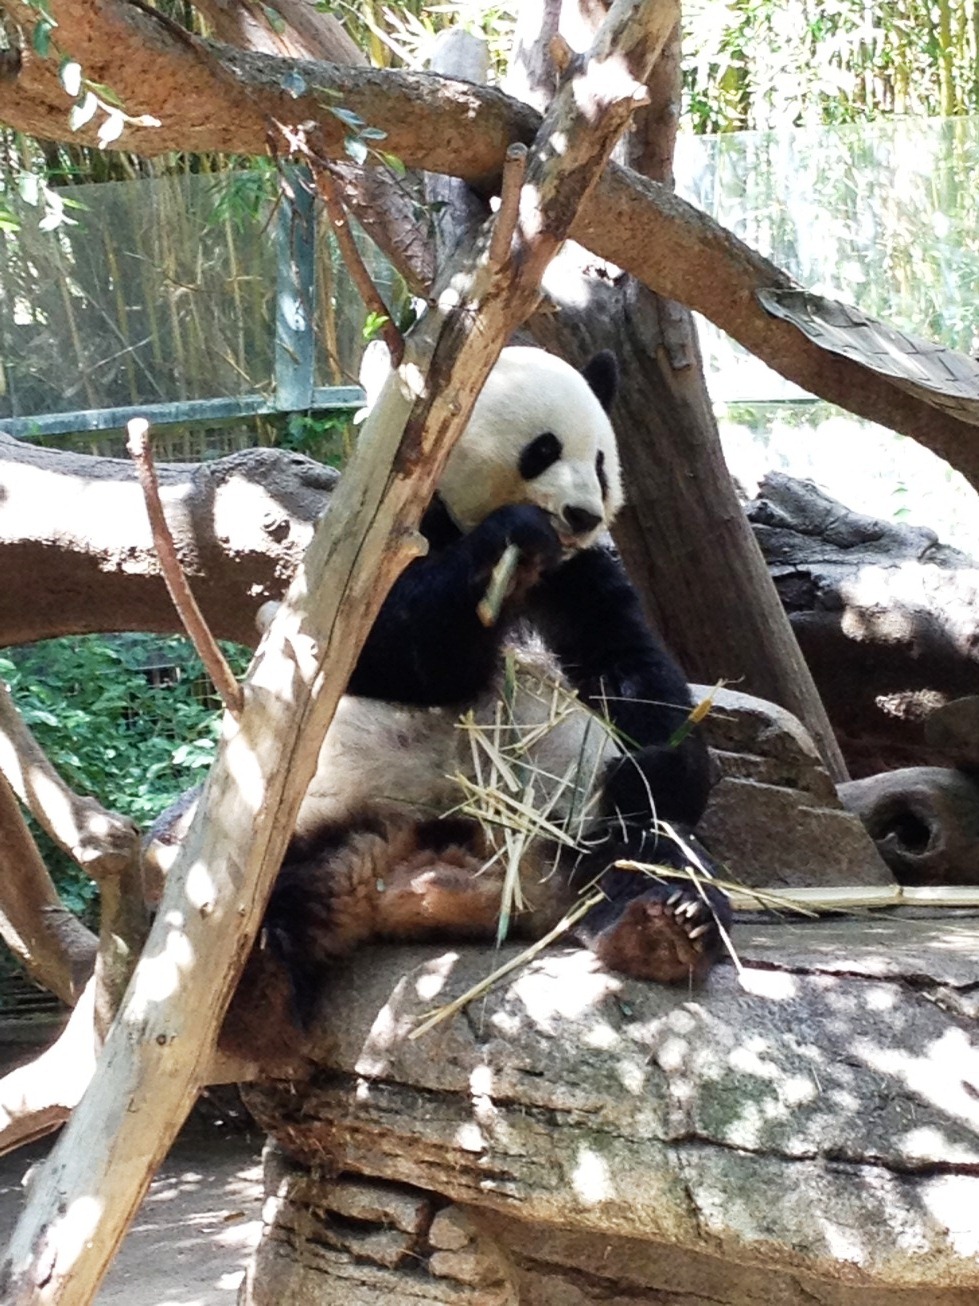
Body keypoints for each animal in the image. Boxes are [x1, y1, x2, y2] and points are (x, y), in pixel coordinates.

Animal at [233, 347, 730, 1029]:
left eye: (602, 463)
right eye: (542, 450)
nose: (583, 514)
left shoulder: (582, 578)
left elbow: (631, 667)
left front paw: (671, 759)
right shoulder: (372, 545)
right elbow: (382, 648)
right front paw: (509, 536)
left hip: (571, 825)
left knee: (648, 849)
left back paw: (666, 926)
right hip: (314, 817)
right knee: (266, 890)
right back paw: (257, 985)